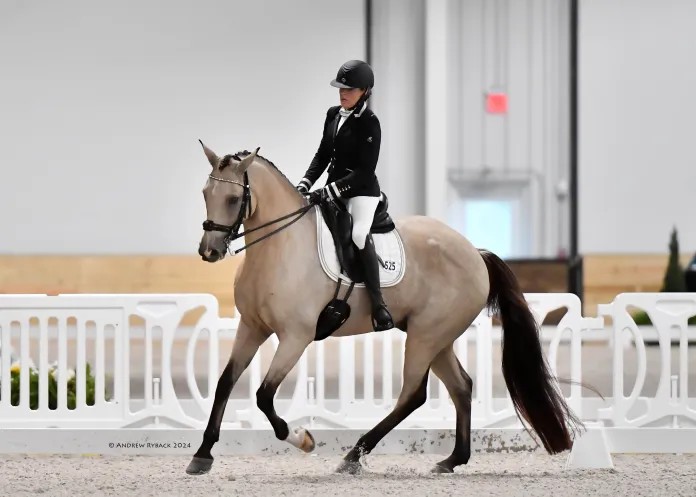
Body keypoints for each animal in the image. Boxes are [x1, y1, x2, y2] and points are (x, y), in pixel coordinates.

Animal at [186, 143, 582, 475]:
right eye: (205, 194)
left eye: (233, 198)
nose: (209, 251)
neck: (279, 247)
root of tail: (475, 253)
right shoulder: (251, 327)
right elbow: (225, 383)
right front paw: (202, 455)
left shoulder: (295, 337)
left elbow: (264, 395)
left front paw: (302, 439)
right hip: (436, 337)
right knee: (461, 387)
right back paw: (452, 460)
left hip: (426, 336)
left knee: (413, 394)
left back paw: (354, 455)